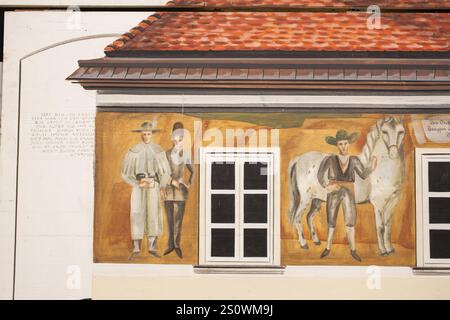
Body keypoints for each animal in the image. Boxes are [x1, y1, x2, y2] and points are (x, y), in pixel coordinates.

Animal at [290, 117, 406, 255]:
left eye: (401, 131)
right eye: (384, 132)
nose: (393, 154)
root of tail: (298, 159)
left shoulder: (392, 202)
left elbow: (388, 227)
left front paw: (390, 249)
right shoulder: (378, 204)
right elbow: (380, 227)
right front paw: (383, 251)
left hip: (316, 200)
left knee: (309, 217)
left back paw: (316, 241)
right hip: (305, 199)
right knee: (297, 218)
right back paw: (304, 244)